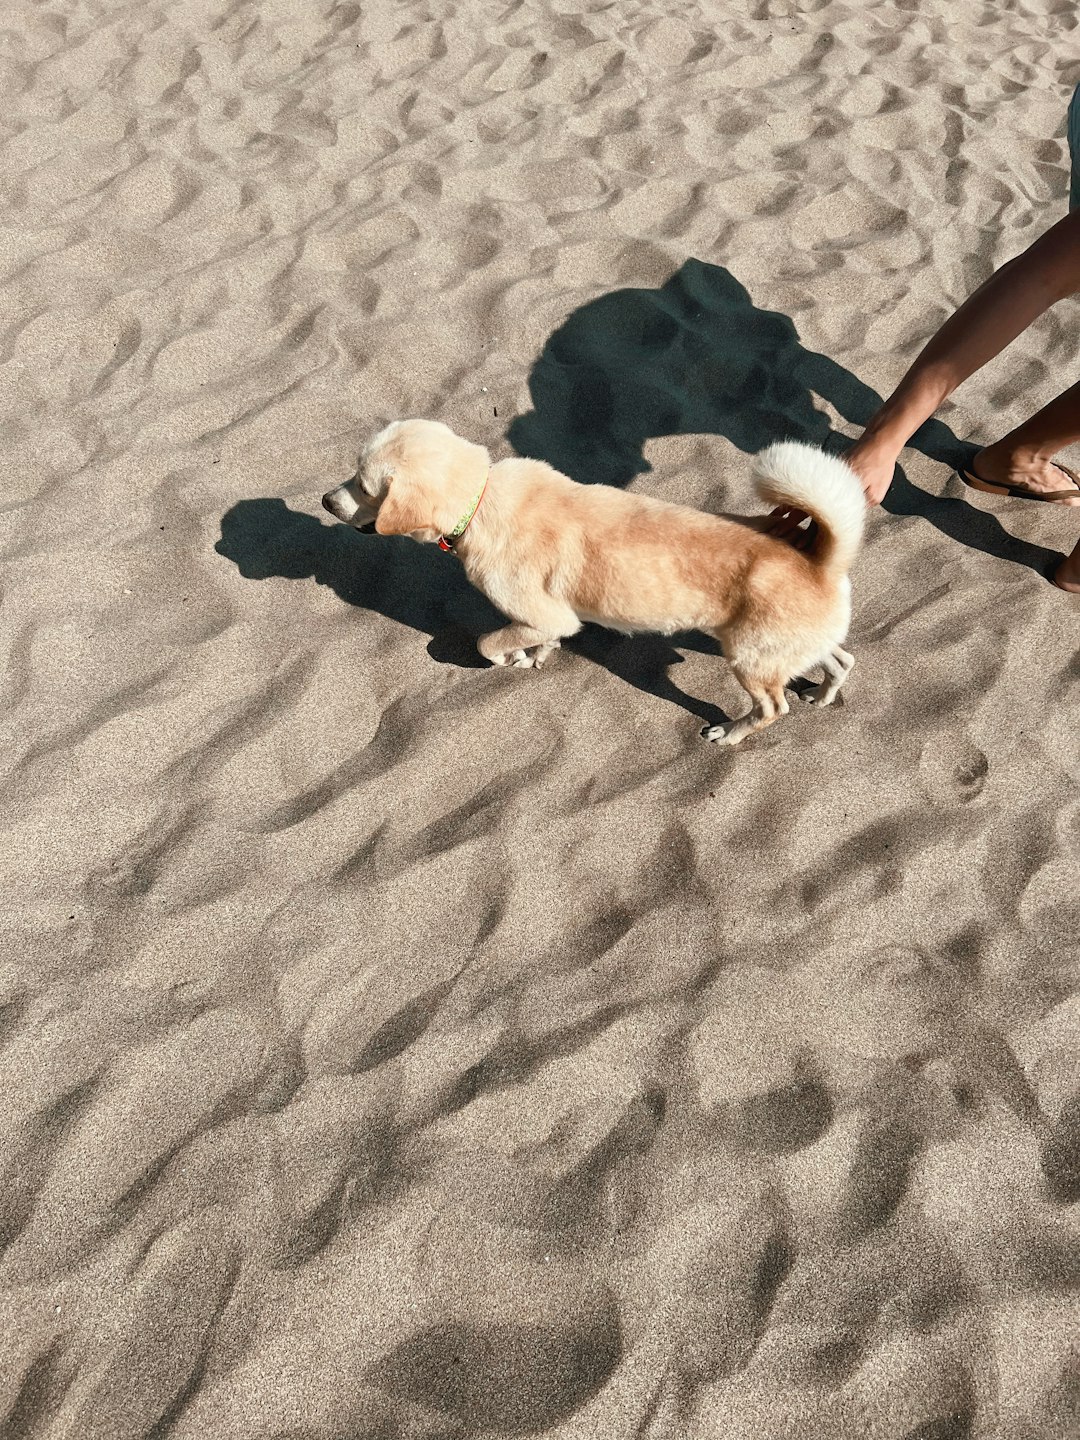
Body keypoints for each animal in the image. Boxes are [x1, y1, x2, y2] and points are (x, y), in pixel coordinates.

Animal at [316, 417, 869, 743]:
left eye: (364, 486)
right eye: (353, 475)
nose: (324, 500)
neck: (481, 497)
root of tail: (822, 562)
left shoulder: (544, 613)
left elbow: (485, 643)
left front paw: (513, 659)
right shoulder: (550, 620)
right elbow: (539, 640)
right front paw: (537, 655)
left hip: (749, 661)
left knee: (772, 706)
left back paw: (732, 733)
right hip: (789, 648)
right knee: (841, 660)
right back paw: (823, 696)